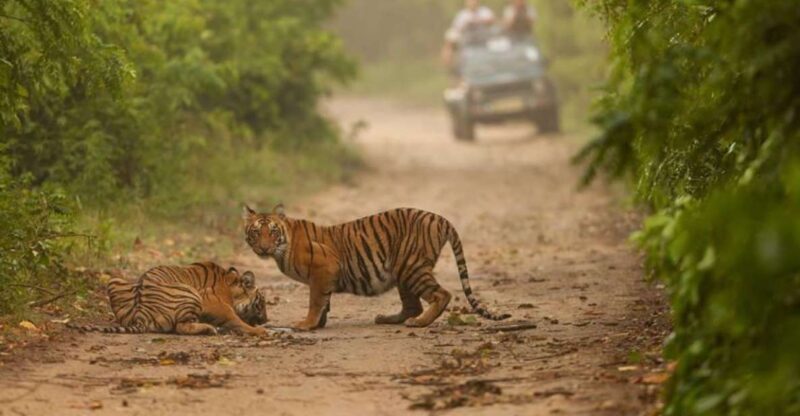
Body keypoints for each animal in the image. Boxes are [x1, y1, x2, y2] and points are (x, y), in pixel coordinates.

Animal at [68, 262, 268, 336]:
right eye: (260, 304)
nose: (266, 320)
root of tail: (141, 314)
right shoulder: (215, 303)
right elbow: (235, 319)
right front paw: (260, 331)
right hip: (191, 293)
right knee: (181, 327)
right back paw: (210, 329)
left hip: (114, 280)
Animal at [243, 204, 510, 331]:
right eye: (256, 232)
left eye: (272, 232)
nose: (264, 248)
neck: (283, 244)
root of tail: (439, 218)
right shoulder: (324, 275)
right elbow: (324, 303)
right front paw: (318, 324)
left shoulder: (323, 268)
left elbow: (316, 301)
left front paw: (306, 325)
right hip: (403, 271)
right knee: (412, 305)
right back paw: (389, 319)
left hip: (411, 267)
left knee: (441, 294)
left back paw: (420, 322)